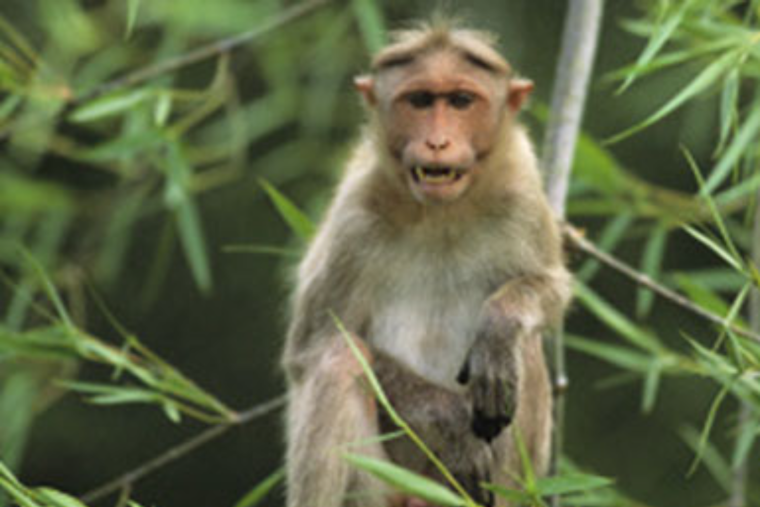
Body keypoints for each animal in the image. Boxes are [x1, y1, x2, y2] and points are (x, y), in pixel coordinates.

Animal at [281, 20, 571, 507]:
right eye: (419, 101)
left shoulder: (523, 196)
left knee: (525, 349)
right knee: (338, 359)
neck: (441, 214)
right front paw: (449, 421)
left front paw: (500, 323)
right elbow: (310, 347)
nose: (438, 141)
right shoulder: (353, 217)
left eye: (460, 101)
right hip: (383, 489)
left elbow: (551, 290)